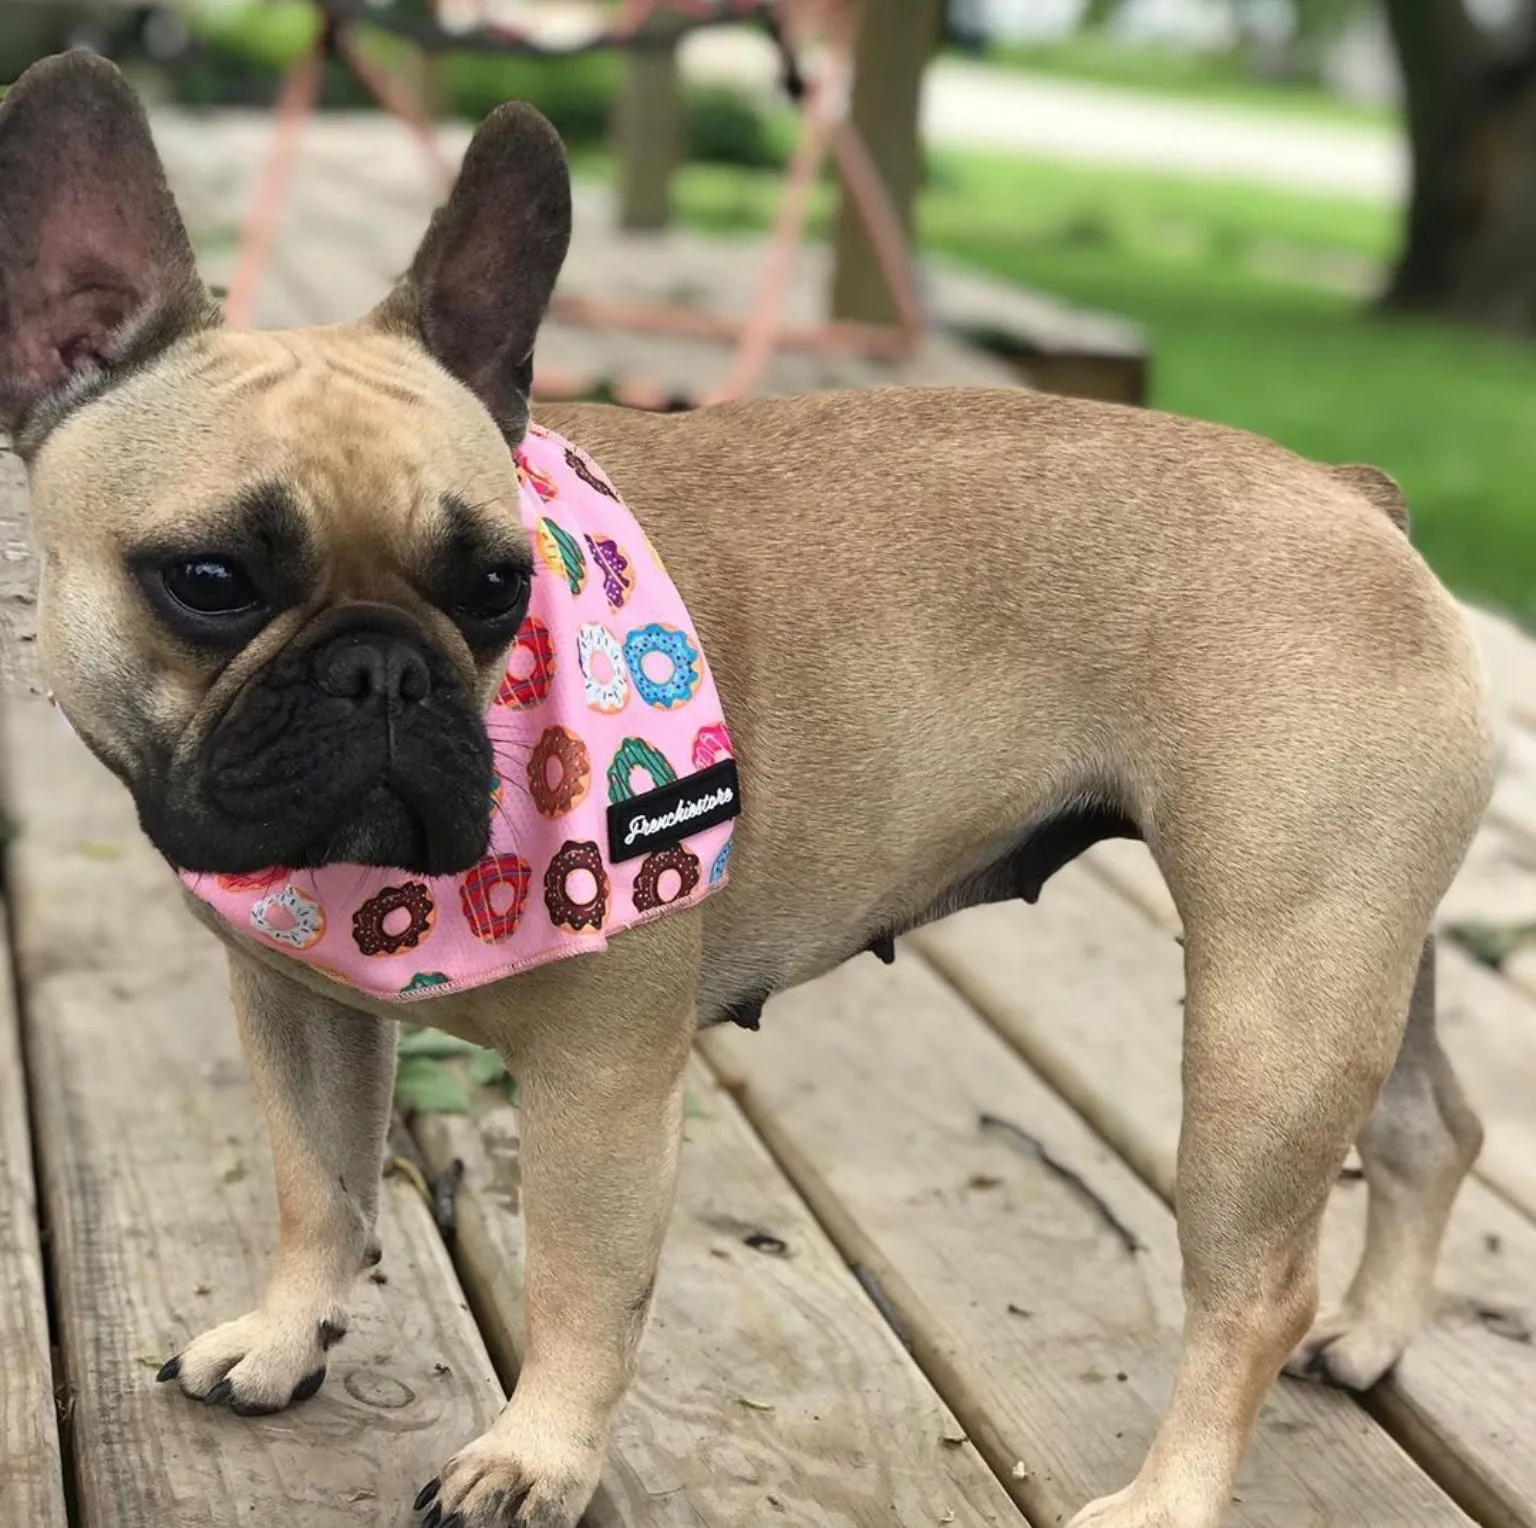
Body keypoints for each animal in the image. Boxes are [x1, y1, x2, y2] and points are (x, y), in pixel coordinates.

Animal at [0, 47, 1492, 1528]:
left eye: (493, 587)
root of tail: (1351, 495)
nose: (382, 672)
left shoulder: (604, 1078)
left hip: (1271, 1005)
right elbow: (319, 1185)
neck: (389, 898)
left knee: (1256, 1283)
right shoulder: (296, 1009)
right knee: (1432, 1130)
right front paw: (283, 1334)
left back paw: (1172, 1493)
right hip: (1359, 956)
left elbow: (578, 1283)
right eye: (208, 579)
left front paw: (536, 1456)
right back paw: (1372, 1335)